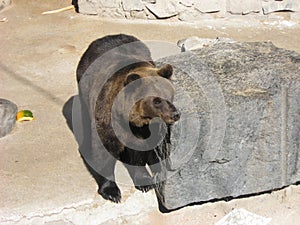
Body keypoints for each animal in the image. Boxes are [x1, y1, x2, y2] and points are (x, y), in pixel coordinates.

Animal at [76, 33, 179, 204]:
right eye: (157, 101)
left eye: (169, 95)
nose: (175, 114)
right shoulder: (107, 118)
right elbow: (103, 151)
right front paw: (111, 192)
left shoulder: (142, 130)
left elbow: (138, 153)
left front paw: (144, 182)